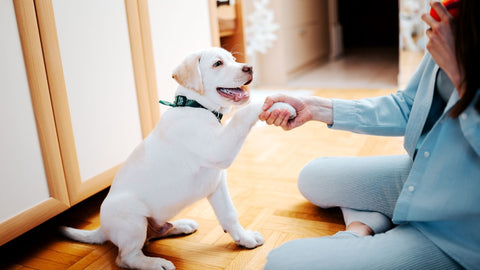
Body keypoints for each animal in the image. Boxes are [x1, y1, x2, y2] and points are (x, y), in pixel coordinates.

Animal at [60, 47, 292, 268]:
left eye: (234, 60)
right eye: (218, 63)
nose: (250, 67)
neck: (196, 106)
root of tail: (102, 229)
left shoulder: (217, 182)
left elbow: (229, 214)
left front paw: (244, 238)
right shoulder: (219, 149)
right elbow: (243, 114)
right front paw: (275, 103)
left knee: (151, 236)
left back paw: (181, 226)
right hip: (132, 219)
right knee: (126, 257)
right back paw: (155, 264)